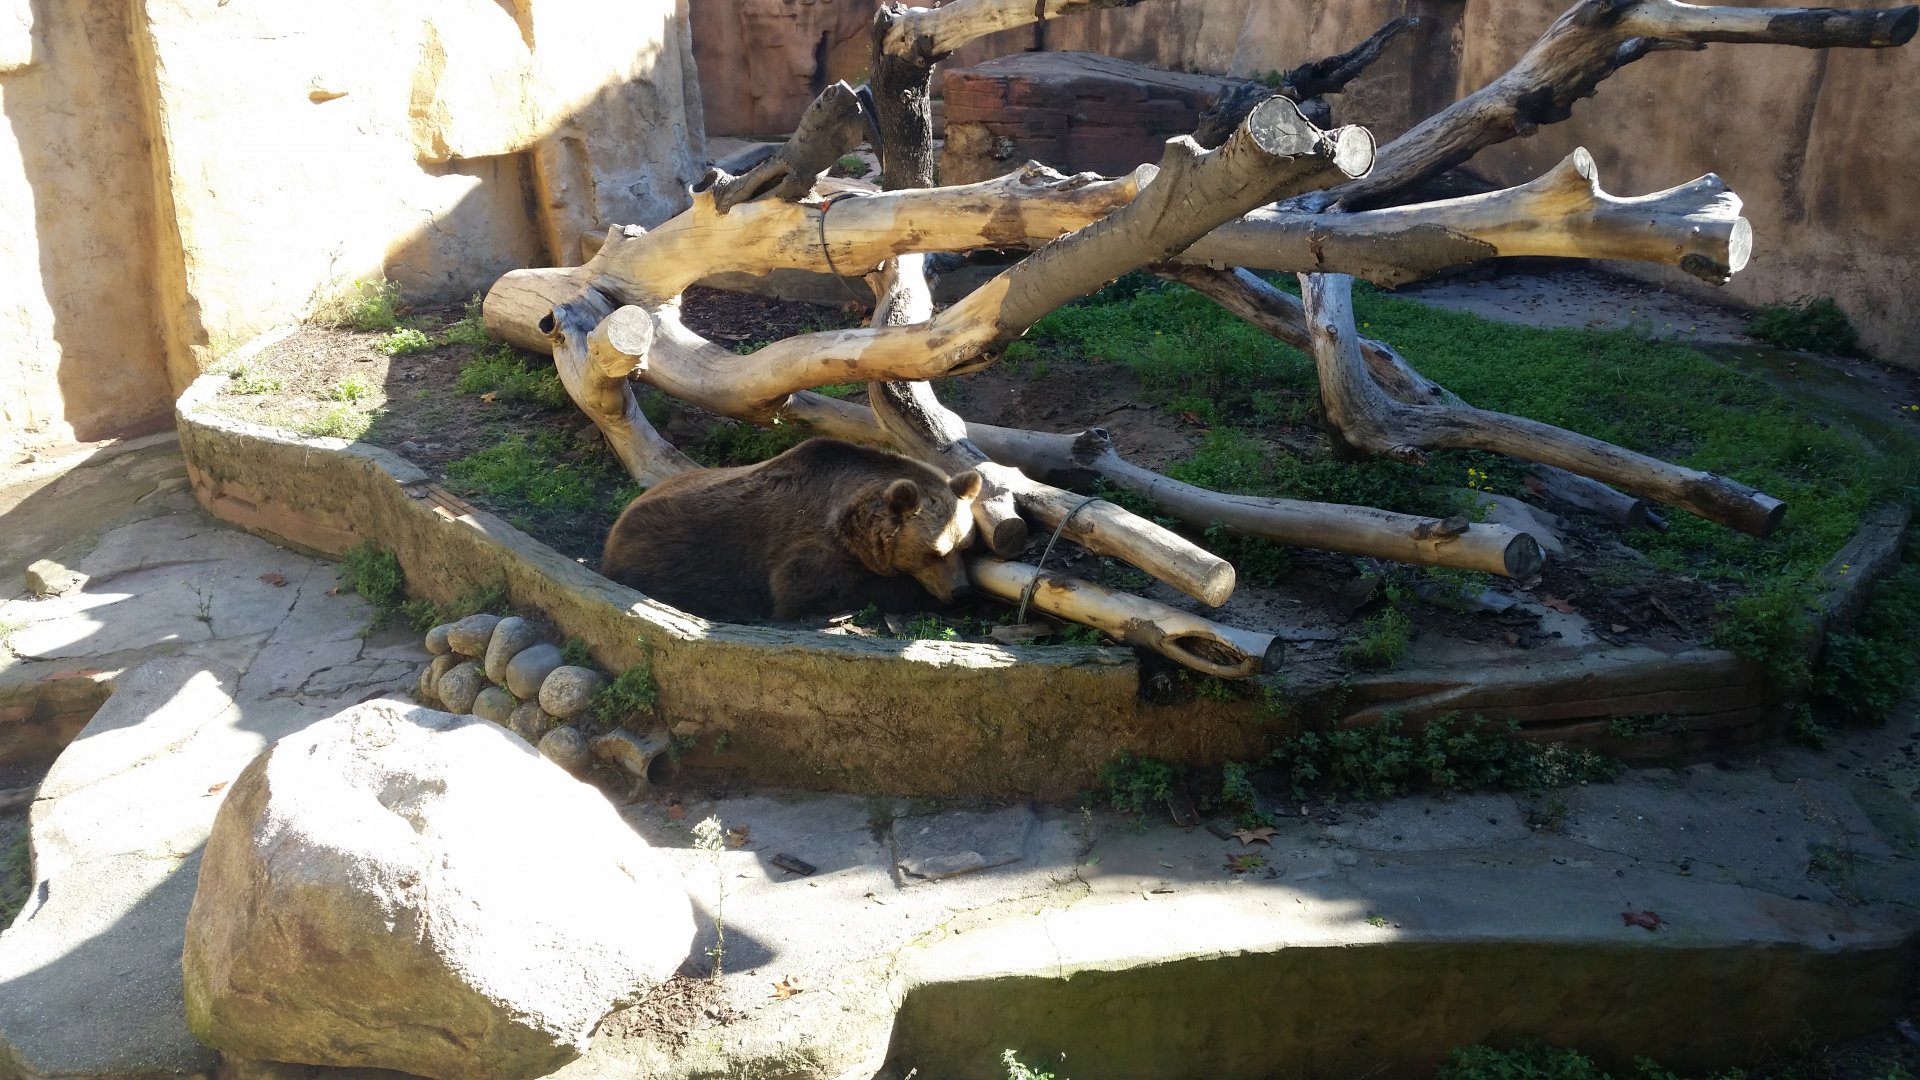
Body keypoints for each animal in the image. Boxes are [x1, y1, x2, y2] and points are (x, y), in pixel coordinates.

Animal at [600, 438, 984, 622]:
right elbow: (805, 589)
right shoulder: (808, 546)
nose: (961, 592)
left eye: (966, 546)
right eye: (934, 552)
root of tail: (617, 524)